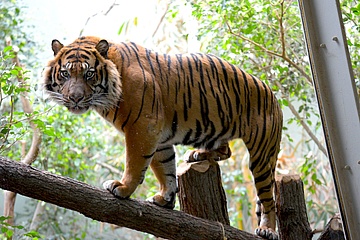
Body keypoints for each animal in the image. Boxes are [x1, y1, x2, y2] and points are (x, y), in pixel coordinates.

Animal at [43, 35, 282, 238]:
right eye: (65, 74)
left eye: (89, 74)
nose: (75, 98)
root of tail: (272, 93)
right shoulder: (158, 135)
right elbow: (164, 168)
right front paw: (165, 199)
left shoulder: (142, 127)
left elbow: (135, 163)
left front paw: (123, 188)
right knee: (227, 150)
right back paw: (197, 155)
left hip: (262, 155)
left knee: (268, 198)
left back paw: (267, 229)